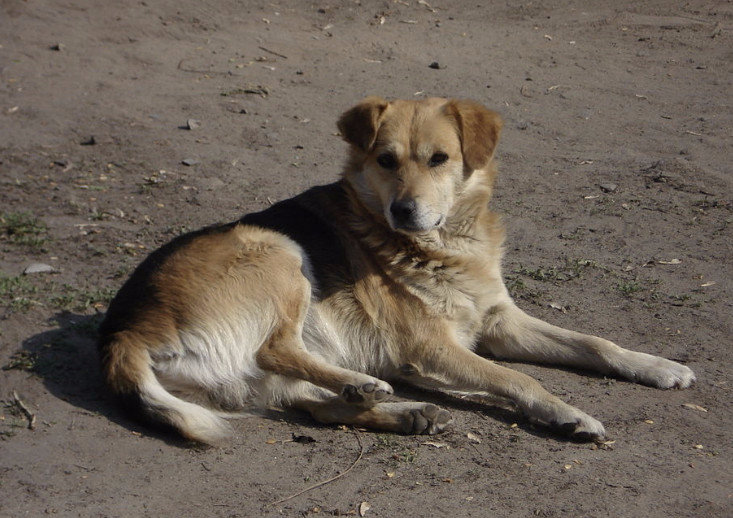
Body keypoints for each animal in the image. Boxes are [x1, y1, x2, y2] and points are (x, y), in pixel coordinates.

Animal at [100, 98, 696, 446]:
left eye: (440, 159)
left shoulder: (499, 322)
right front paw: (569, 413)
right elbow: (518, 379)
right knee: (277, 349)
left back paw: (404, 412)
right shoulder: (431, 348)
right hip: (279, 251)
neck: (446, 245)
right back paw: (366, 385)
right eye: (385, 161)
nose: (404, 211)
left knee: (314, 407)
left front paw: (657, 366)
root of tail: (123, 332)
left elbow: (595, 343)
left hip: (260, 365)